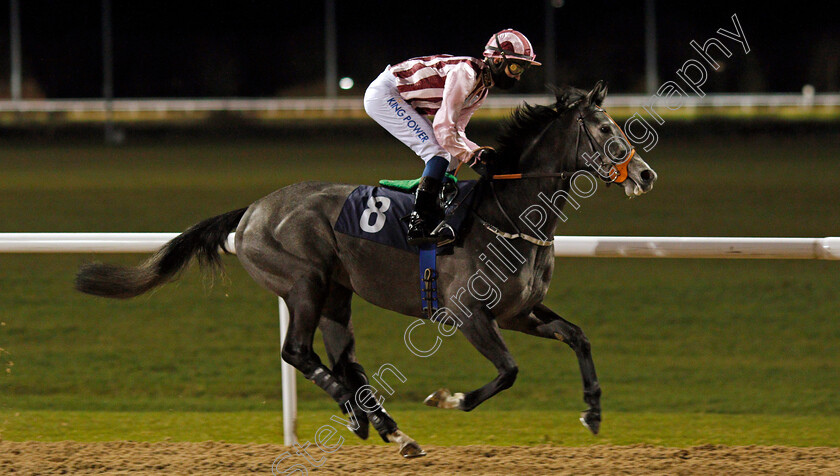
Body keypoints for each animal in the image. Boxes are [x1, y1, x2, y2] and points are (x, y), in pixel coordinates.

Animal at [77, 82, 656, 458]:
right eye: (604, 128)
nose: (646, 174)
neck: (506, 213)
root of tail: (252, 212)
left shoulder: (518, 312)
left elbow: (578, 336)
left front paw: (593, 412)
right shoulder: (468, 314)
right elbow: (509, 371)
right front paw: (448, 398)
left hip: (337, 293)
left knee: (341, 359)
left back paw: (387, 427)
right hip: (304, 282)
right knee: (298, 352)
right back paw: (363, 419)